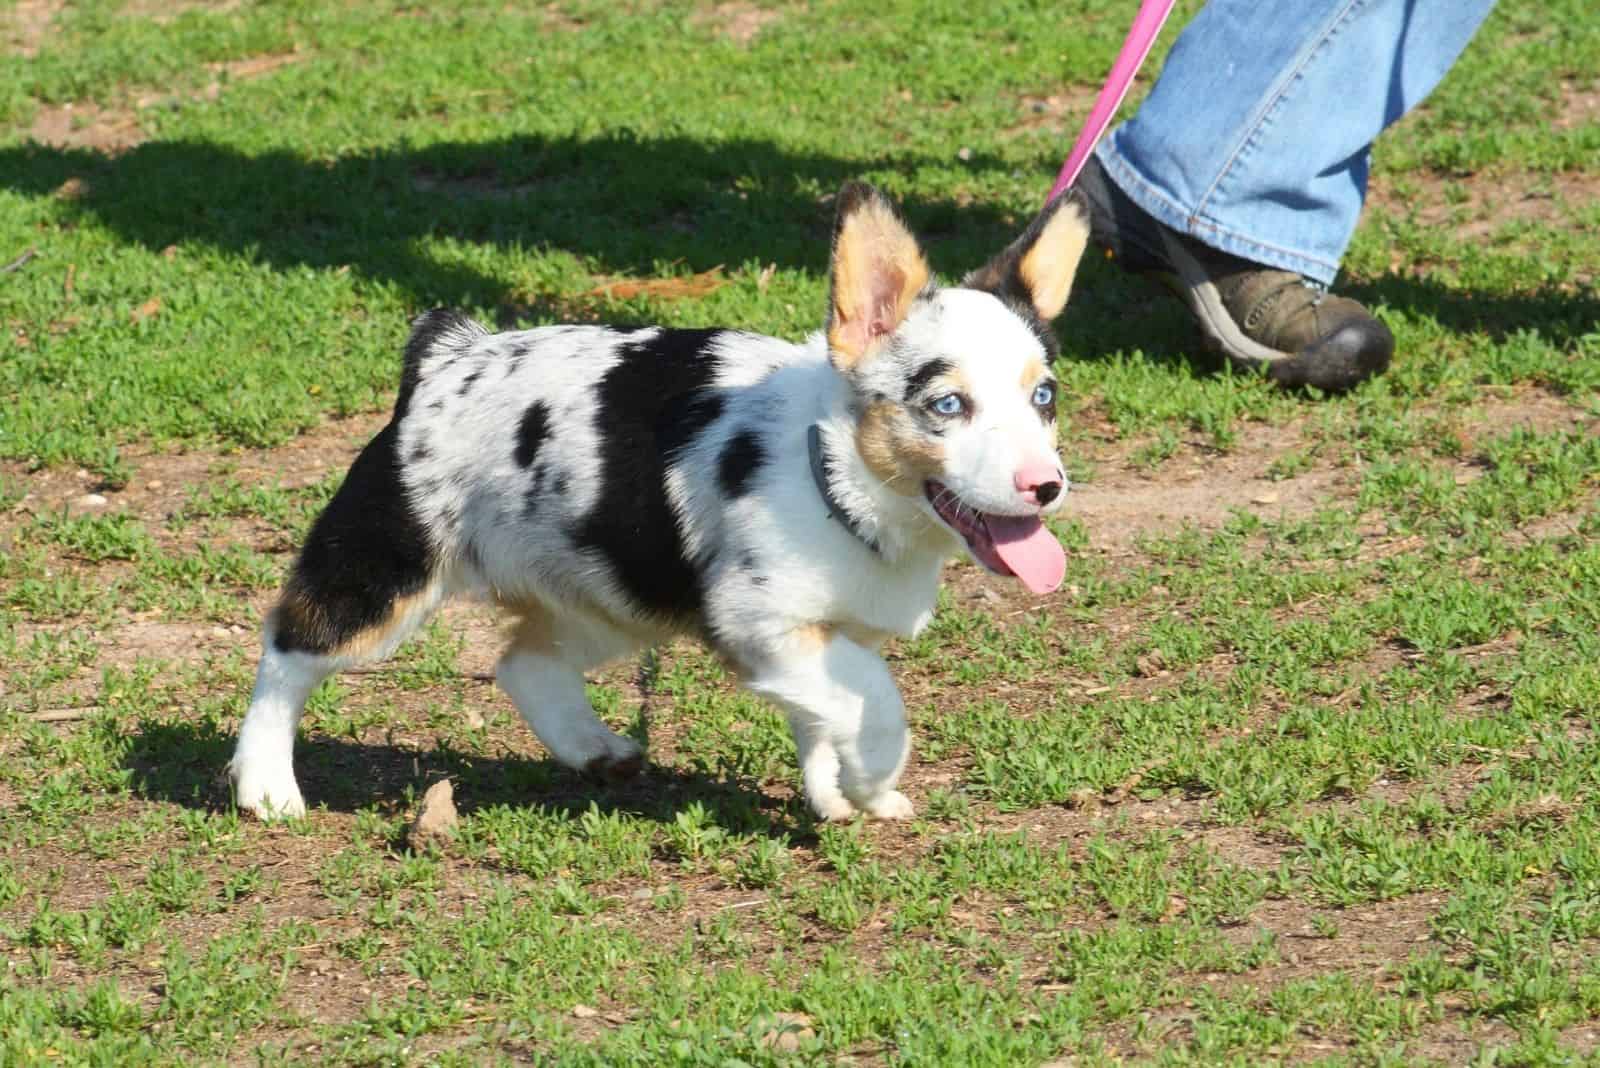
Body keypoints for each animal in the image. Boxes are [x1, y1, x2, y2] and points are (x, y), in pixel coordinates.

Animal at [232, 181, 1094, 818]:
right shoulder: (761, 624)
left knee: (523, 664)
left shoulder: (829, 634)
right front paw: (875, 775)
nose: (1045, 487)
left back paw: (596, 749)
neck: (833, 469)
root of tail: (446, 356)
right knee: (288, 650)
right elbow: (872, 702)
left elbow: (830, 709)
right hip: (385, 572)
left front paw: (837, 795)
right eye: (947, 405)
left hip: (612, 596)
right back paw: (265, 785)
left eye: (1044, 397)